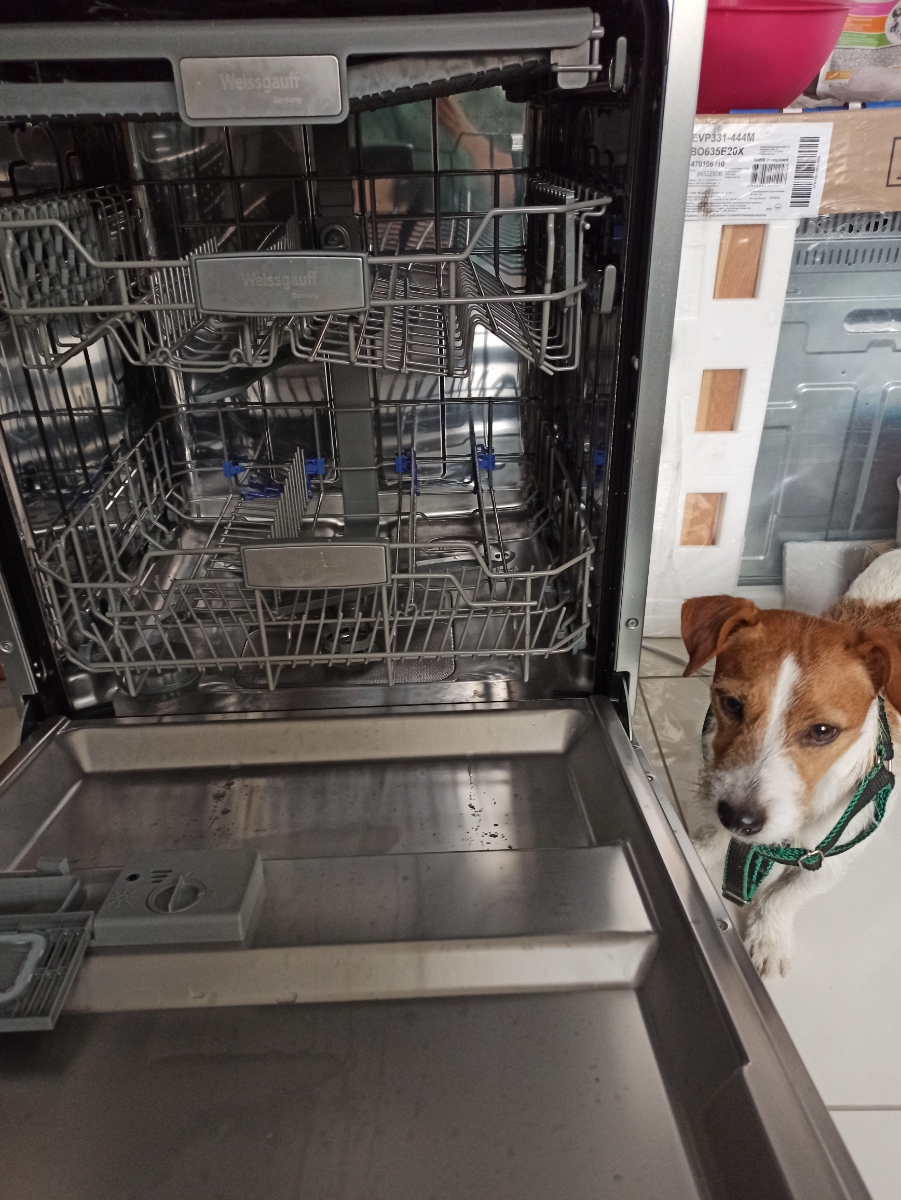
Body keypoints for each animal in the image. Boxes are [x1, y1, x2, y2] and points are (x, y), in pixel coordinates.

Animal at [682, 548, 901, 978]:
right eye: (732, 704)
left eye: (823, 731)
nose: (741, 819)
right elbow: (717, 837)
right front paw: (698, 849)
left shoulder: (829, 858)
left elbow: (784, 895)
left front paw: (769, 937)